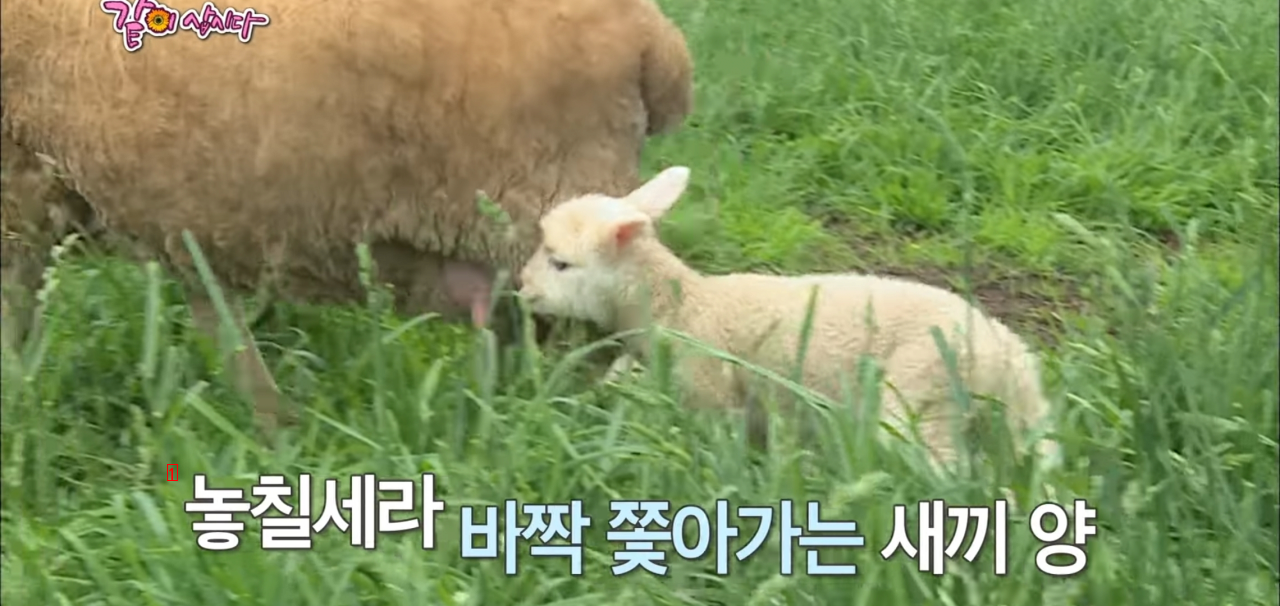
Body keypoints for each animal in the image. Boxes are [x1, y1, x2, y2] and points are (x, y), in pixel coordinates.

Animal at [514, 167, 1054, 466]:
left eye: (560, 263)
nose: (521, 288)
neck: (681, 306)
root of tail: (1005, 351)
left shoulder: (713, 394)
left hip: (923, 396)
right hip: (1004, 420)